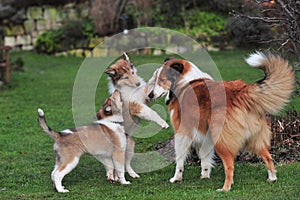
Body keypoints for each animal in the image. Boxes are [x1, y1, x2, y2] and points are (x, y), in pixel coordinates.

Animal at [149, 52, 294, 191]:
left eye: (161, 80)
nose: (150, 95)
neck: (184, 81)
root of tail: (241, 92)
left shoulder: (182, 133)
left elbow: (179, 159)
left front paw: (176, 178)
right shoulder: (205, 134)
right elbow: (205, 157)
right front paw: (205, 175)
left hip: (221, 140)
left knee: (230, 165)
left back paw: (225, 188)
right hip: (254, 138)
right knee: (268, 157)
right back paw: (272, 178)